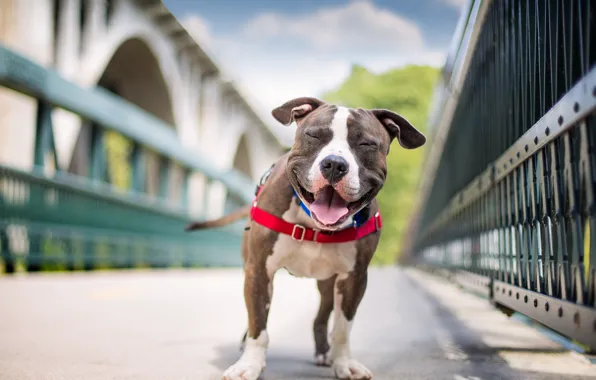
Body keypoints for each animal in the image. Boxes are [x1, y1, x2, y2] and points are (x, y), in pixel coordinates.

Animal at [186, 96, 424, 378]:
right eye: (314, 135)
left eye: (366, 144)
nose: (334, 164)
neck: (314, 225)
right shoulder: (259, 269)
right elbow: (258, 324)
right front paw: (250, 364)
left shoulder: (354, 278)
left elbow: (342, 329)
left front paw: (344, 363)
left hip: (328, 284)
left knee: (321, 317)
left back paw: (324, 353)